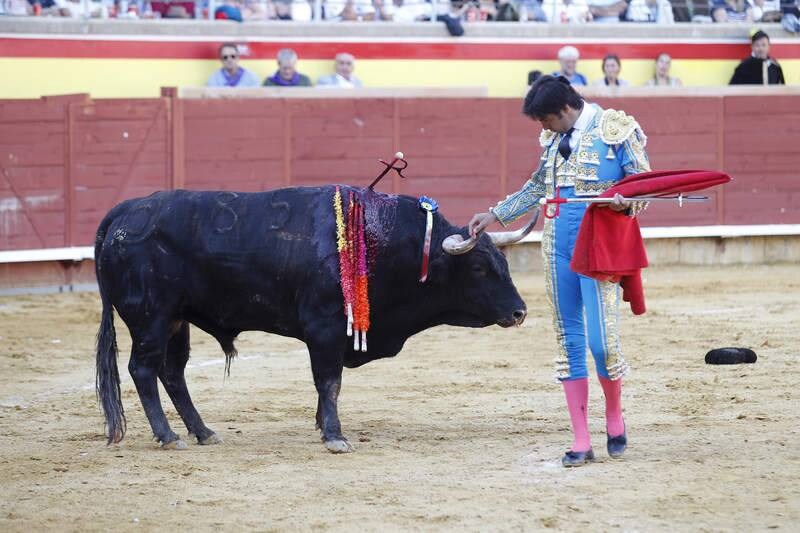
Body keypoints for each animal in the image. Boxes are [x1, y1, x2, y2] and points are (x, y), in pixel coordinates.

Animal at [94, 185, 528, 450]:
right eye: (479, 268)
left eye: (503, 263)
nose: (520, 311)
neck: (379, 239)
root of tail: (128, 210)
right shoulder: (324, 330)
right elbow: (329, 382)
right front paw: (334, 435)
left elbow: (328, 386)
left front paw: (323, 426)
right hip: (150, 319)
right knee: (143, 370)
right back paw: (168, 436)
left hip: (177, 320)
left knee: (172, 372)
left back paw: (203, 432)